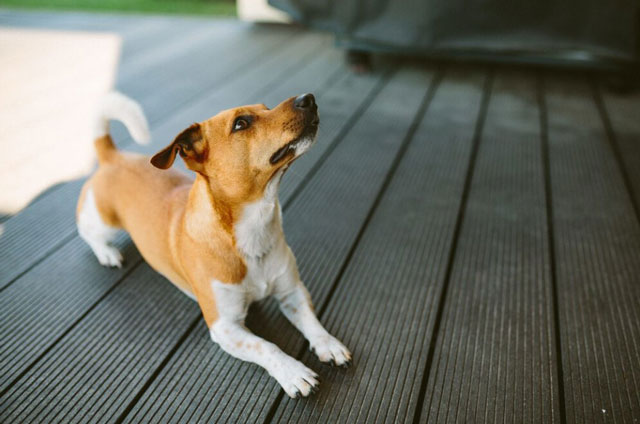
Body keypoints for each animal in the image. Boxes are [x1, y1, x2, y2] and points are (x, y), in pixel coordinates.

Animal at [79, 90, 356, 398]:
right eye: (241, 123)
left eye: (266, 108)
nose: (308, 98)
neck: (253, 229)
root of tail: (112, 156)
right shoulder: (225, 326)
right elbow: (266, 346)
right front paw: (293, 372)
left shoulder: (292, 291)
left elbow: (311, 321)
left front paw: (328, 344)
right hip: (102, 219)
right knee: (87, 231)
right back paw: (107, 252)